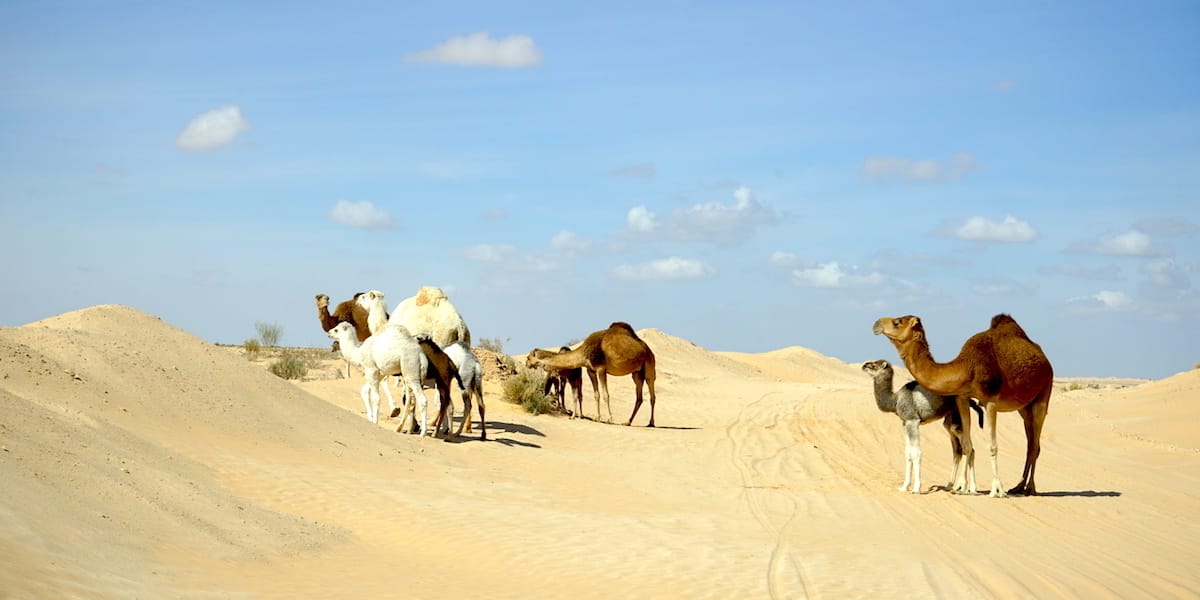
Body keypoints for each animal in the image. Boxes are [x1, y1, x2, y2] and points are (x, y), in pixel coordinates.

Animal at [525, 324, 657, 427]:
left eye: (528, 357)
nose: (527, 364)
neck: (584, 352)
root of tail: (648, 349)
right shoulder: (590, 370)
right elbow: (596, 394)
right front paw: (597, 418)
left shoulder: (601, 368)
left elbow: (605, 395)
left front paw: (609, 419)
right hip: (637, 373)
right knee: (639, 397)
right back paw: (627, 422)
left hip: (649, 365)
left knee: (652, 394)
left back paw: (651, 423)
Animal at [859, 357, 979, 494]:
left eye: (874, 365)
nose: (864, 365)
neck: (895, 400)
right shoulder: (905, 422)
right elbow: (908, 453)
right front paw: (904, 487)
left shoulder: (913, 420)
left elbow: (916, 453)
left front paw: (916, 488)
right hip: (951, 418)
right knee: (962, 449)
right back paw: (963, 487)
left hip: (958, 415)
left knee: (967, 447)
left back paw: (965, 487)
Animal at [873, 314, 1051, 496]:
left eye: (897, 322)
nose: (876, 324)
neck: (967, 367)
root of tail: (1045, 359)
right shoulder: (962, 398)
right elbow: (966, 446)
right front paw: (962, 487)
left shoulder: (991, 401)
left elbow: (992, 446)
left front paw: (996, 490)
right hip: (1024, 407)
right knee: (1030, 443)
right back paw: (1018, 486)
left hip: (1043, 395)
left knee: (1035, 445)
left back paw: (1030, 488)